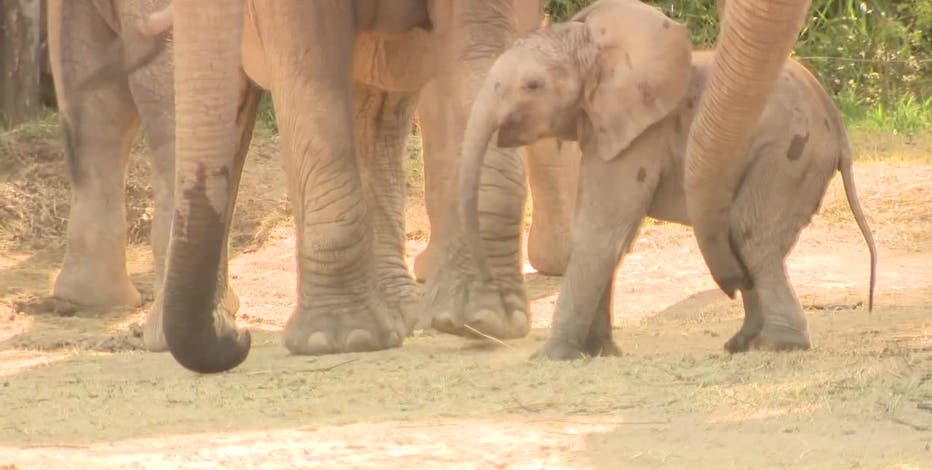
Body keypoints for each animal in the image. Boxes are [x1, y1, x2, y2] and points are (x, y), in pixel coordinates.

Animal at [457, 0, 877, 359]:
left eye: (532, 85)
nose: (486, 313)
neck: (592, 45)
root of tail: (837, 125)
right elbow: (612, 235)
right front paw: (600, 353)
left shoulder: (644, 133)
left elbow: (600, 232)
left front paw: (552, 357)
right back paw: (741, 343)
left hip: (789, 156)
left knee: (751, 235)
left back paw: (776, 345)